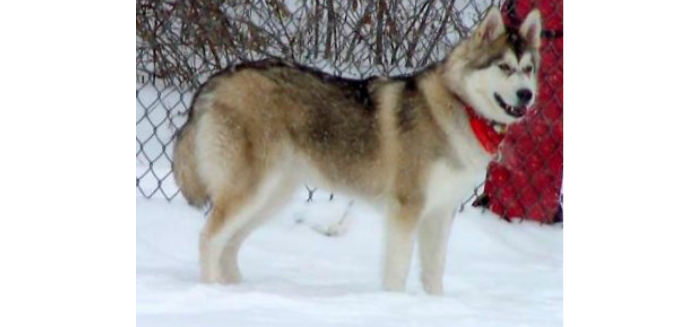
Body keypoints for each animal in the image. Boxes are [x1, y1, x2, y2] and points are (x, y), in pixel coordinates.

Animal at [174, 7, 540, 296]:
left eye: (528, 69)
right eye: (504, 67)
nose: (527, 95)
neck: (462, 109)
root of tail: (215, 81)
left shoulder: (441, 211)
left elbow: (434, 272)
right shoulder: (406, 209)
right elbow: (398, 271)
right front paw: (394, 305)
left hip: (271, 197)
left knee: (229, 243)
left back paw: (237, 290)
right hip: (250, 192)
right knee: (209, 237)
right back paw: (212, 291)